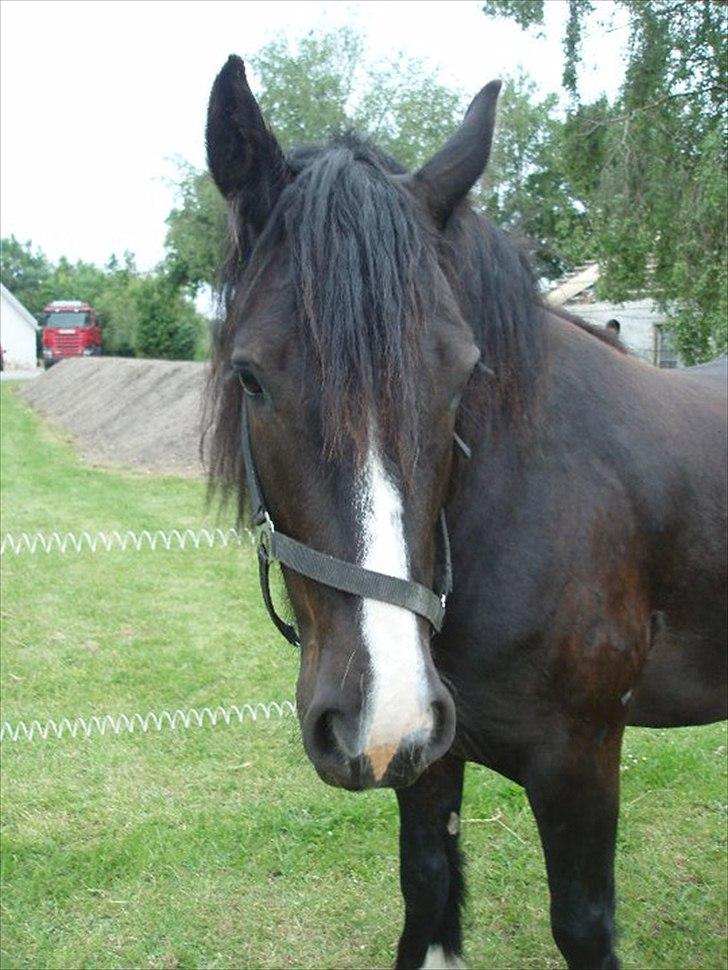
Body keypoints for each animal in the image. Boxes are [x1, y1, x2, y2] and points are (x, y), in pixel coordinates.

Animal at [203, 55, 727, 970]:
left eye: (461, 375)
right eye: (252, 376)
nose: (377, 712)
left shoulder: (581, 761)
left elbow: (582, 922)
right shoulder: (428, 757)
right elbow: (428, 889)